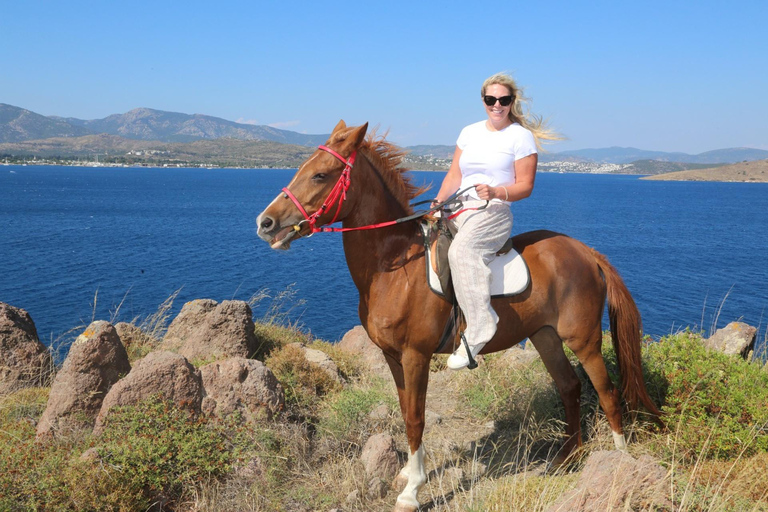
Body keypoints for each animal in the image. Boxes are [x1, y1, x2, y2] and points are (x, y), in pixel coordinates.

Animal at [256, 121, 662, 512]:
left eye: (320, 175)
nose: (266, 222)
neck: (394, 268)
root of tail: (586, 251)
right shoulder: (392, 356)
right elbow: (404, 409)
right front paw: (408, 473)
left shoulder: (416, 355)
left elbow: (416, 417)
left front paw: (412, 491)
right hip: (545, 336)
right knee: (570, 387)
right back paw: (566, 459)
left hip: (584, 339)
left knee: (607, 391)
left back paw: (619, 459)